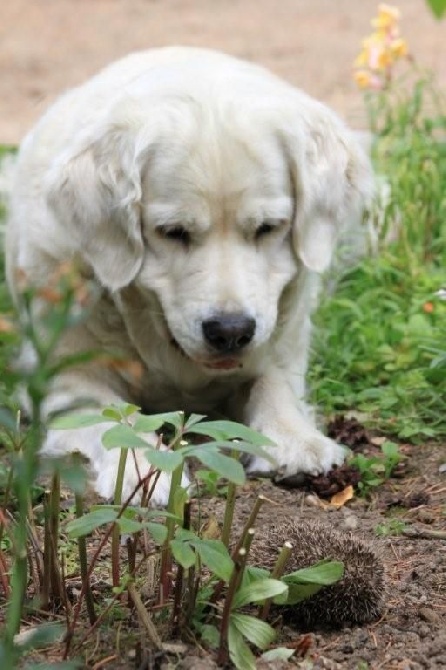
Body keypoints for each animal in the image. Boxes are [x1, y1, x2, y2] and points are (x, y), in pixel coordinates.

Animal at [5, 48, 372, 504]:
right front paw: (142, 469)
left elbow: (273, 387)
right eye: (173, 232)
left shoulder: (277, 347)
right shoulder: (66, 377)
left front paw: (297, 440)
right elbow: (115, 419)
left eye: (268, 227)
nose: (231, 332)